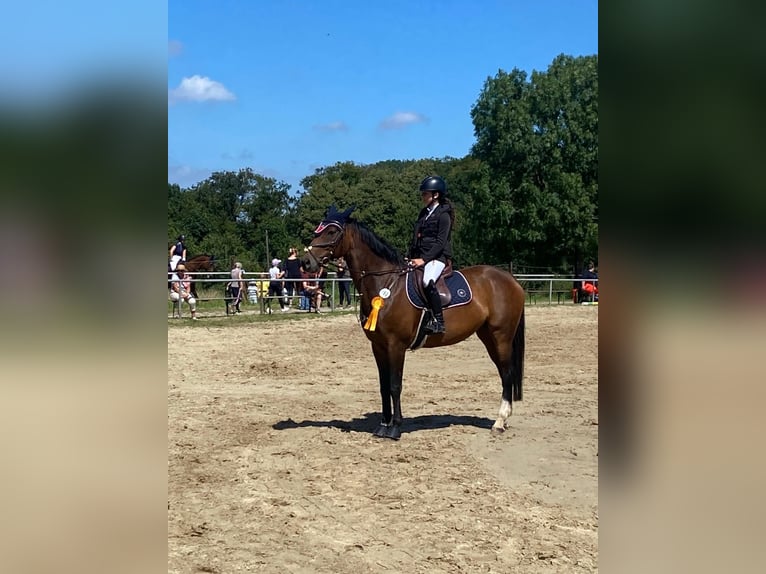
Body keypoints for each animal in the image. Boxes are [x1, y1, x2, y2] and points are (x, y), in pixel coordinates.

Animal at [304, 206, 525, 441]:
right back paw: (503, 420)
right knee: (503, 372)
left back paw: (499, 422)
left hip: (501, 336)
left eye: (331, 232)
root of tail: (510, 279)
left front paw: (395, 427)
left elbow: (395, 385)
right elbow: (383, 386)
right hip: (488, 336)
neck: (386, 284)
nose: (305, 262)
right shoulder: (378, 346)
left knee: (507, 373)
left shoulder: (396, 345)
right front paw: (383, 425)